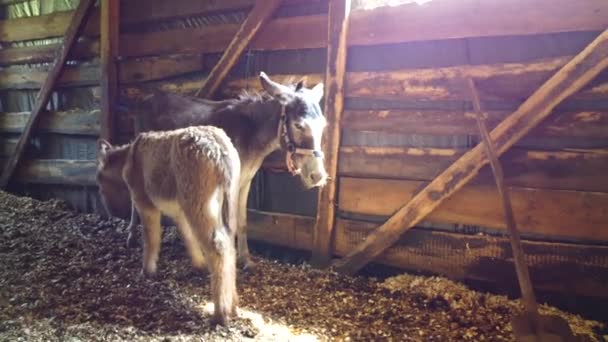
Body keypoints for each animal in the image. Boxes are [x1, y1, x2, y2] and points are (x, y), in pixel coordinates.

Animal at [96, 125, 239, 326]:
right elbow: (188, 237)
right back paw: (233, 305)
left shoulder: (144, 202)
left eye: (99, 181)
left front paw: (147, 271)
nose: (109, 212)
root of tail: (217, 147)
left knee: (218, 248)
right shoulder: (180, 212)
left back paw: (220, 313)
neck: (128, 159)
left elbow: (151, 237)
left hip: (199, 203)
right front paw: (199, 265)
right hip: (228, 204)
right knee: (230, 247)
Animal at [100, 72, 328, 270]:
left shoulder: (246, 180)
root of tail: (144, 99)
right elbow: (228, 222)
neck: (252, 135)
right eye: (298, 125)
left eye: (324, 126)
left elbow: (243, 222)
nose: (318, 176)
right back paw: (132, 236)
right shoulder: (228, 181)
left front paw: (246, 260)